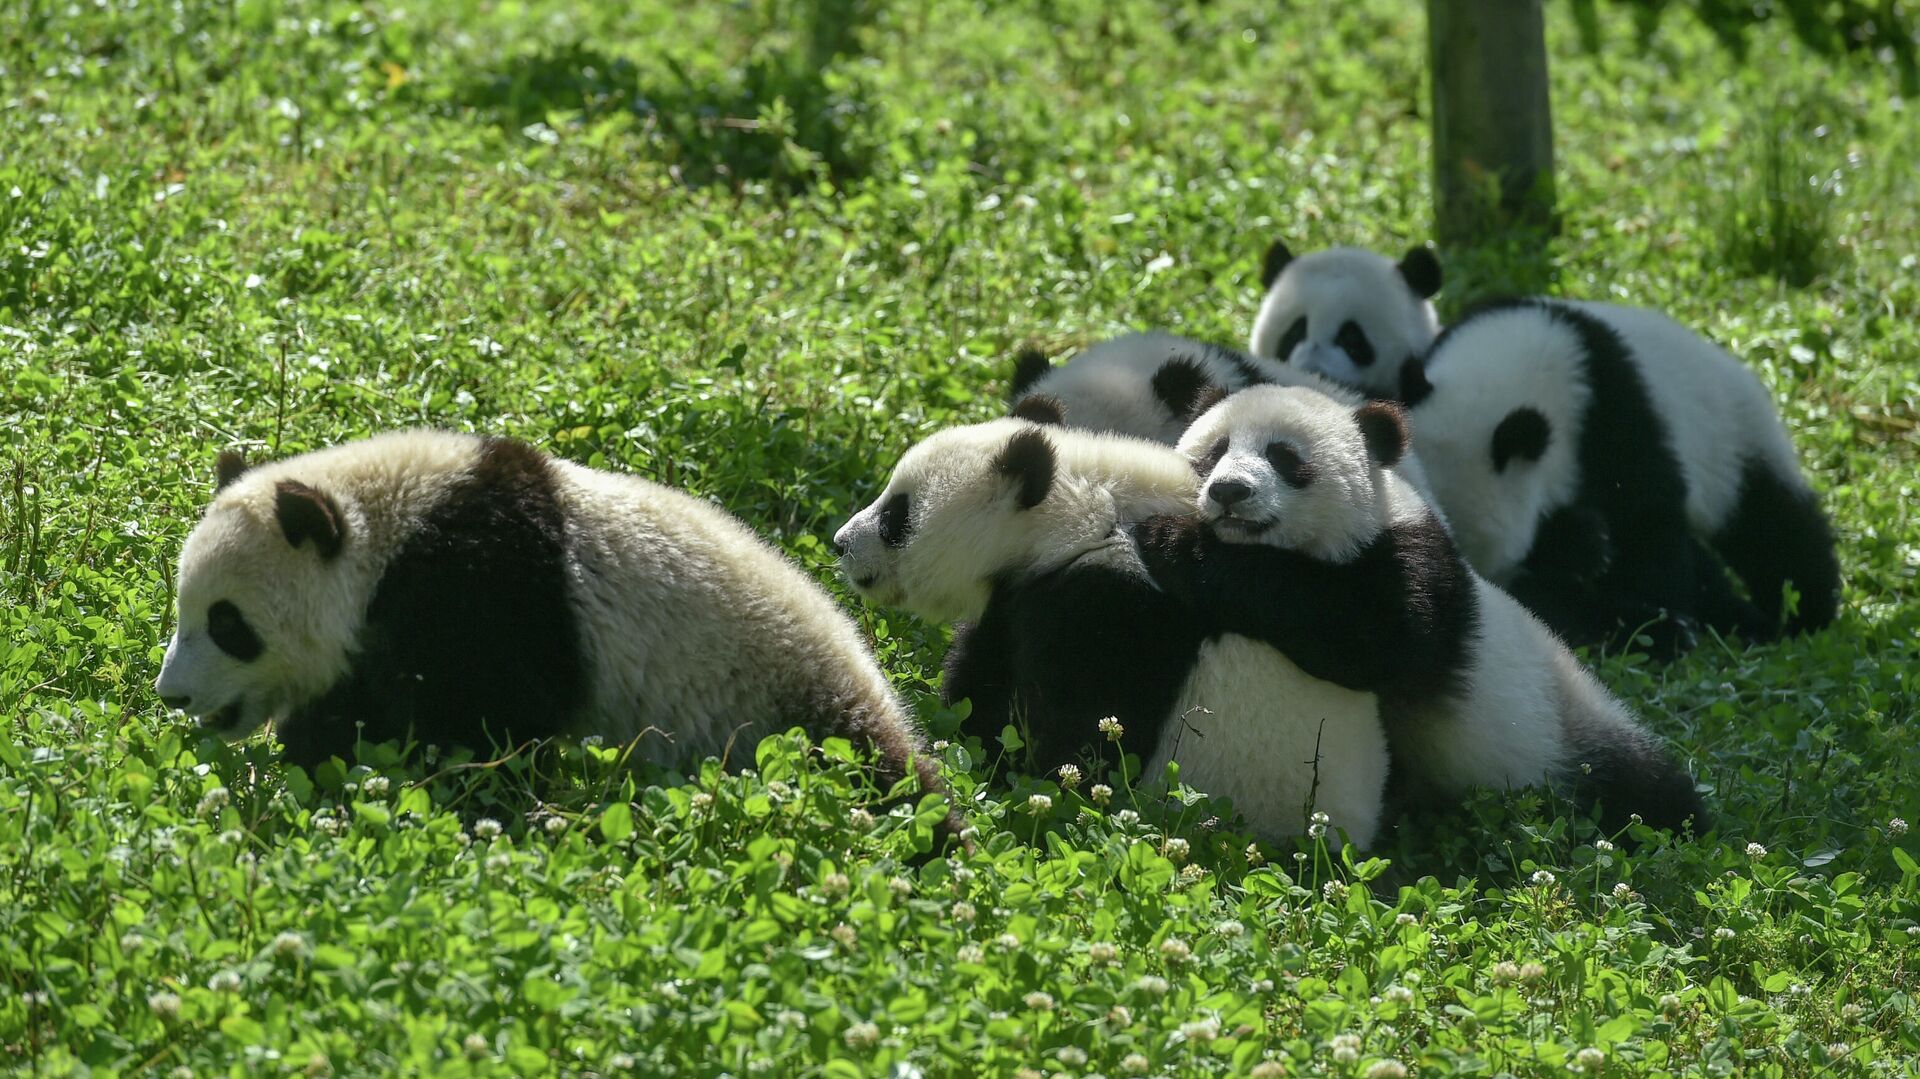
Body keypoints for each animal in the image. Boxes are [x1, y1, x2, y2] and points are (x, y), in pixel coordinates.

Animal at [153, 424, 948, 810]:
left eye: (227, 625)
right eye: (183, 610)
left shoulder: (487, 593)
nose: (173, 695)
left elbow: (484, 723)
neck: (386, 534)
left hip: (792, 711)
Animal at [833, 416, 1390, 844]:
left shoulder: (1114, 607)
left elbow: (1081, 736)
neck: (1083, 516)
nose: (840, 543)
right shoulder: (1017, 599)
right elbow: (981, 685)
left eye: (896, 514)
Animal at [1128, 385, 1704, 833]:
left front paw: (1170, 540)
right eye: (1214, 451)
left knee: (1642, 788)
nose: (1229, 491)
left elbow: (1363, 633)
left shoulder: (1414, 567)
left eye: (1284, 458)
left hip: (1571, 730)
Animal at [1405, 297, 1835, 660]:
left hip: (1733, 438)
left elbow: (1646, 530)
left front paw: (1660, 628)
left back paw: (1800, 616)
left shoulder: (1614, 422)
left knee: (1774, 528)